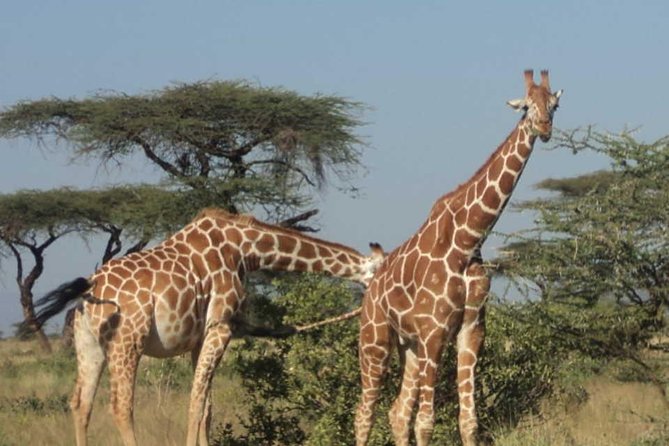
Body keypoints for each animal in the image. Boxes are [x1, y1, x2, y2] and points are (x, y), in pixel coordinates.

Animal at [27, 208, 385, 446]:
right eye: (379, 272)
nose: (378, 302)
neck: (247, 249)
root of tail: (90, 288)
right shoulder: (221, 325)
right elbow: (196, 402)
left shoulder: (199, 337)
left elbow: (207, 407)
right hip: (128, 339)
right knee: (120, 406)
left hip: (89, 344)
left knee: (80, 403)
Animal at [354, 70, 562, 446]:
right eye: (526, 106)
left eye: (554, 105)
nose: (543, 127)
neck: (467, 241)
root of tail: (372, 284)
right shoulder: (434, 331)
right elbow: (426, 422)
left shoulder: (471, 330)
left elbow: (468, 421)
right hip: (375, 338)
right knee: (365, 414)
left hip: (409, 346)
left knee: (396, 413)